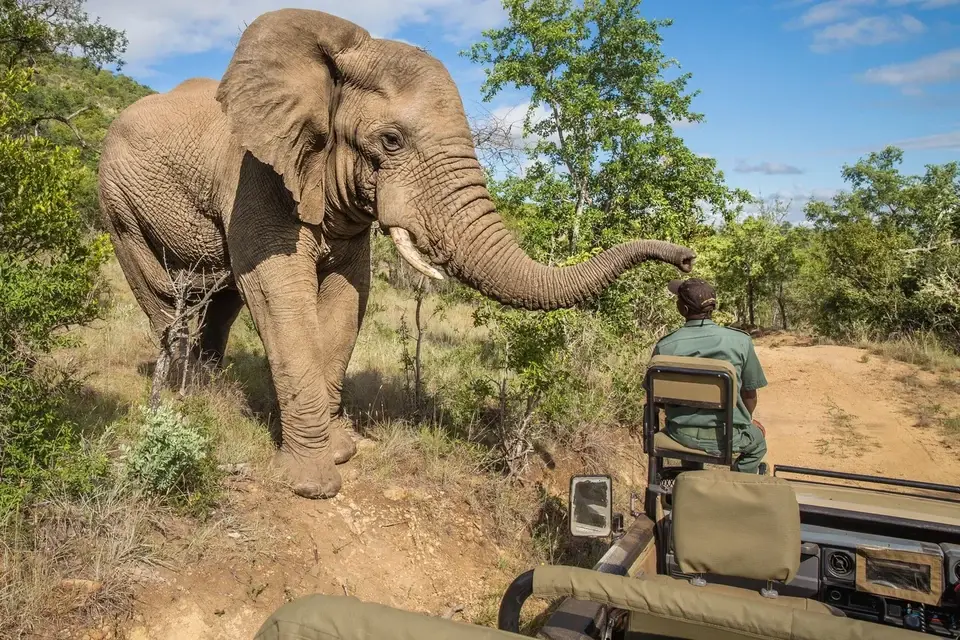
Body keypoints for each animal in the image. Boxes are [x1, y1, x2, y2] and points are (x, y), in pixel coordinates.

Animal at [97, 8, 696, 500]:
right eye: (391, 141)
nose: (687, 260)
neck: (334, 56)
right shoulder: (254, 175)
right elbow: (277, 292)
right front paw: (314, 484)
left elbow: (347, 296)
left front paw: (341, 449)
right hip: (118, 204)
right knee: (166, 297)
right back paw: (185, 396)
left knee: (219, 302)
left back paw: (210, 388)